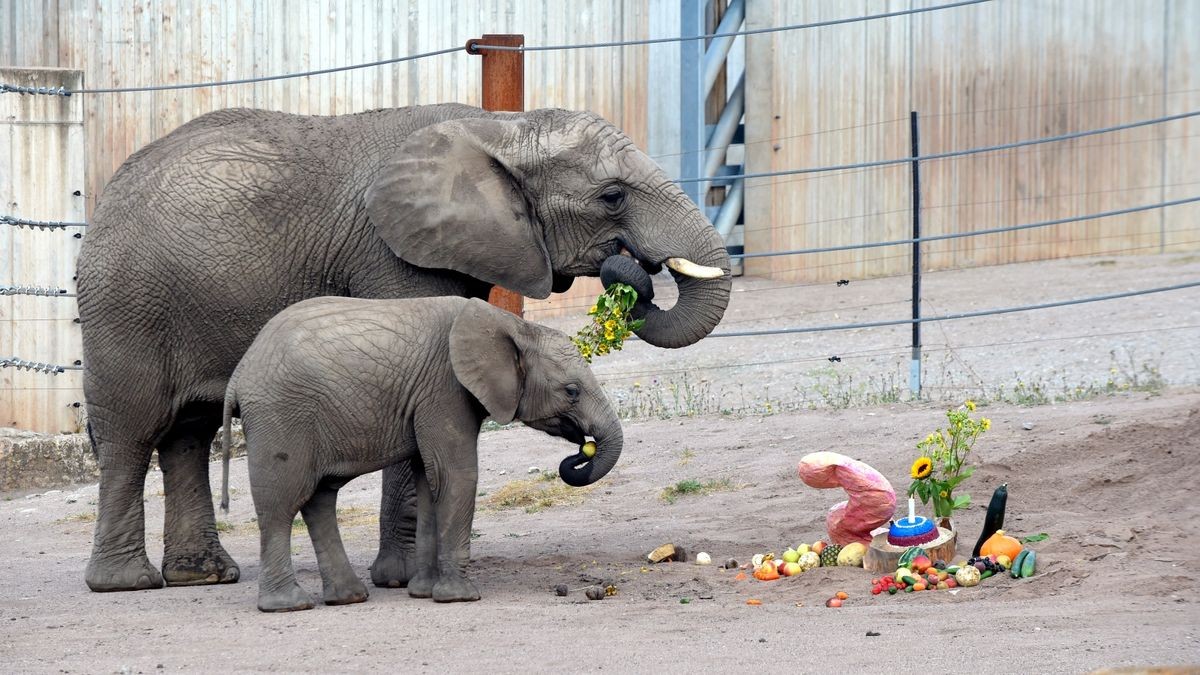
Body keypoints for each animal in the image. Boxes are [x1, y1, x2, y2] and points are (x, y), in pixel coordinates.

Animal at [219, 294, 624, 610]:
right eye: (571, 391)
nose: (580, 451)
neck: (512, 325)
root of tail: (238, 376)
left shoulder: (429, 398)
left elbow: (429, 483)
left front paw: (423, 592)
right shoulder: (444, 390)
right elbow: (456, 475)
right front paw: (459, 597)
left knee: (320, 497)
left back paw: (348, 598)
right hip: (281, 415)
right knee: (281, 503)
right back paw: (288, 605)